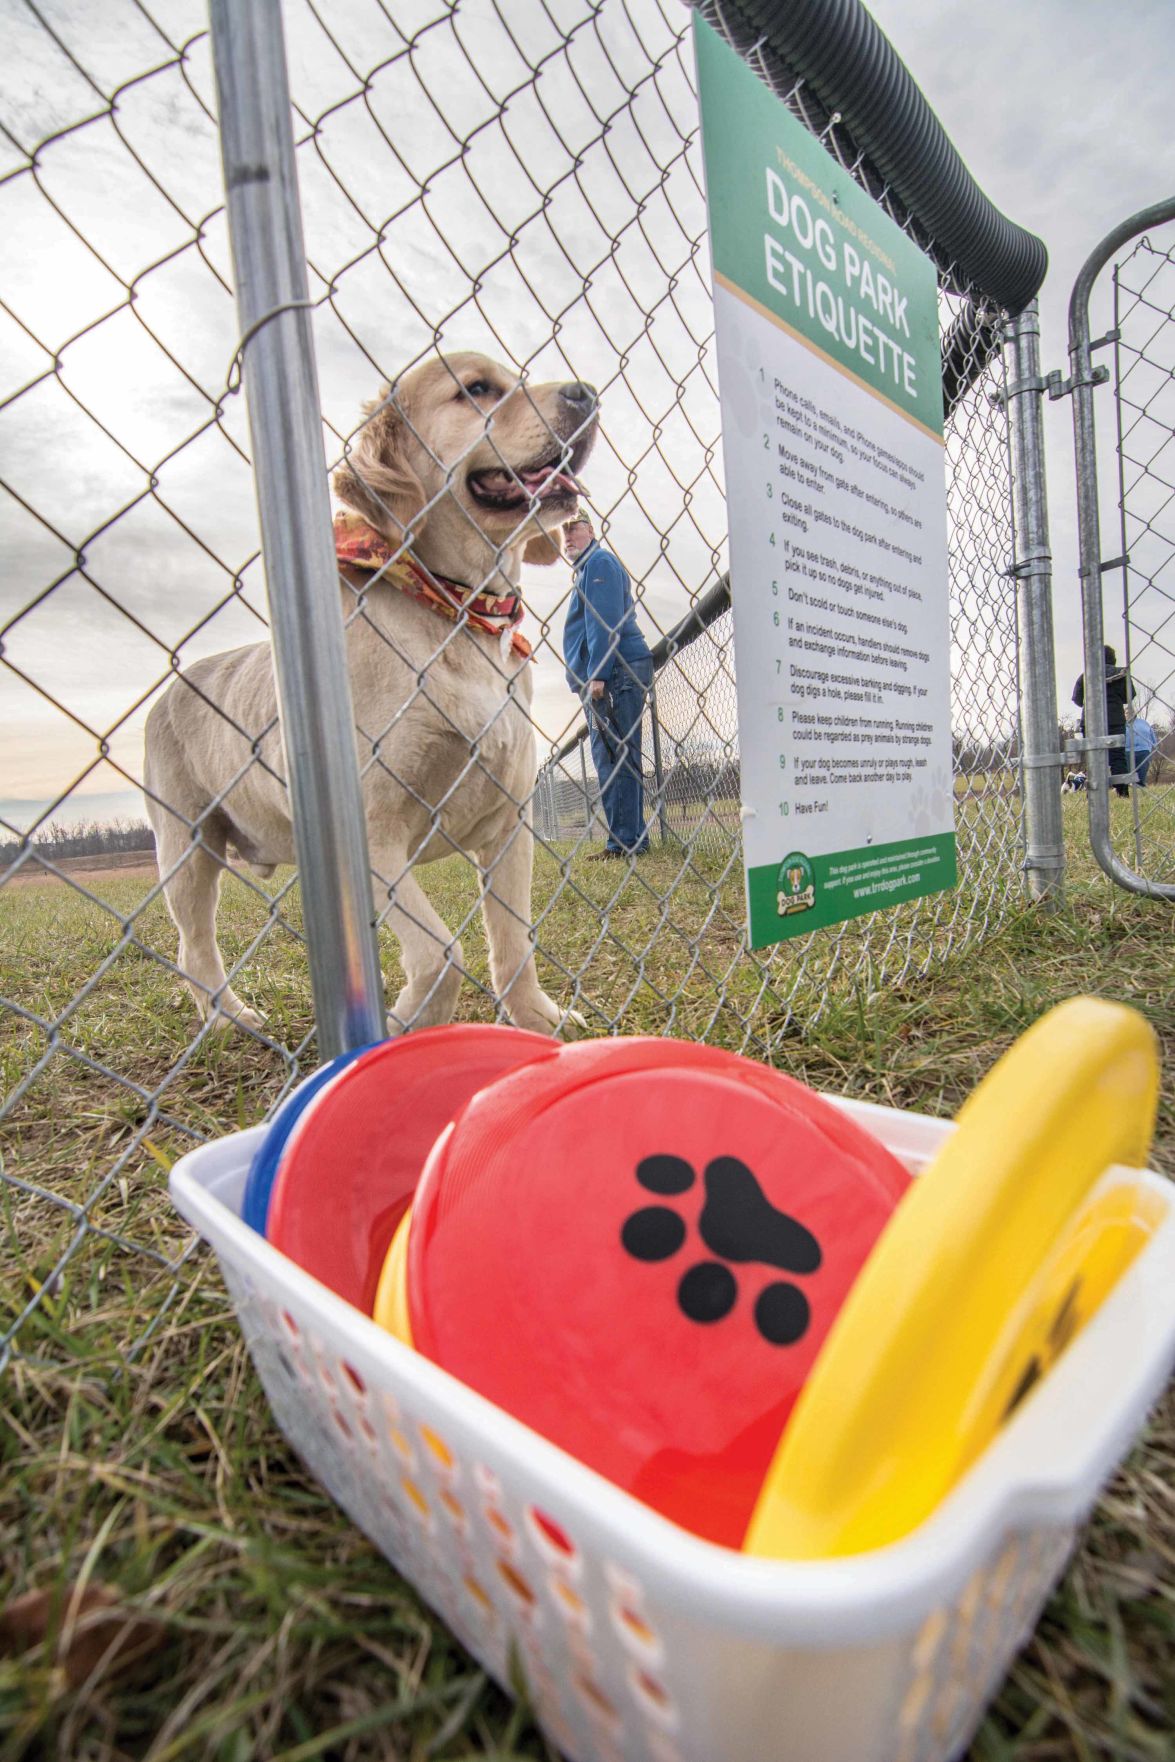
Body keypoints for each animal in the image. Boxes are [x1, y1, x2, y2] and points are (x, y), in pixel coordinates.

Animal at [146, 350, 598, 1029]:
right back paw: (228, 1016)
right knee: (192, 945)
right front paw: (406, 1023)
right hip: (185, 850)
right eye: (477, 389)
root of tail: (172, 685)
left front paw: (537, 1021)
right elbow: (442, 954)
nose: (587, 392)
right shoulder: (373, 834)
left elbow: (514, 944)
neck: (459, 613)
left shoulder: (508, 825)